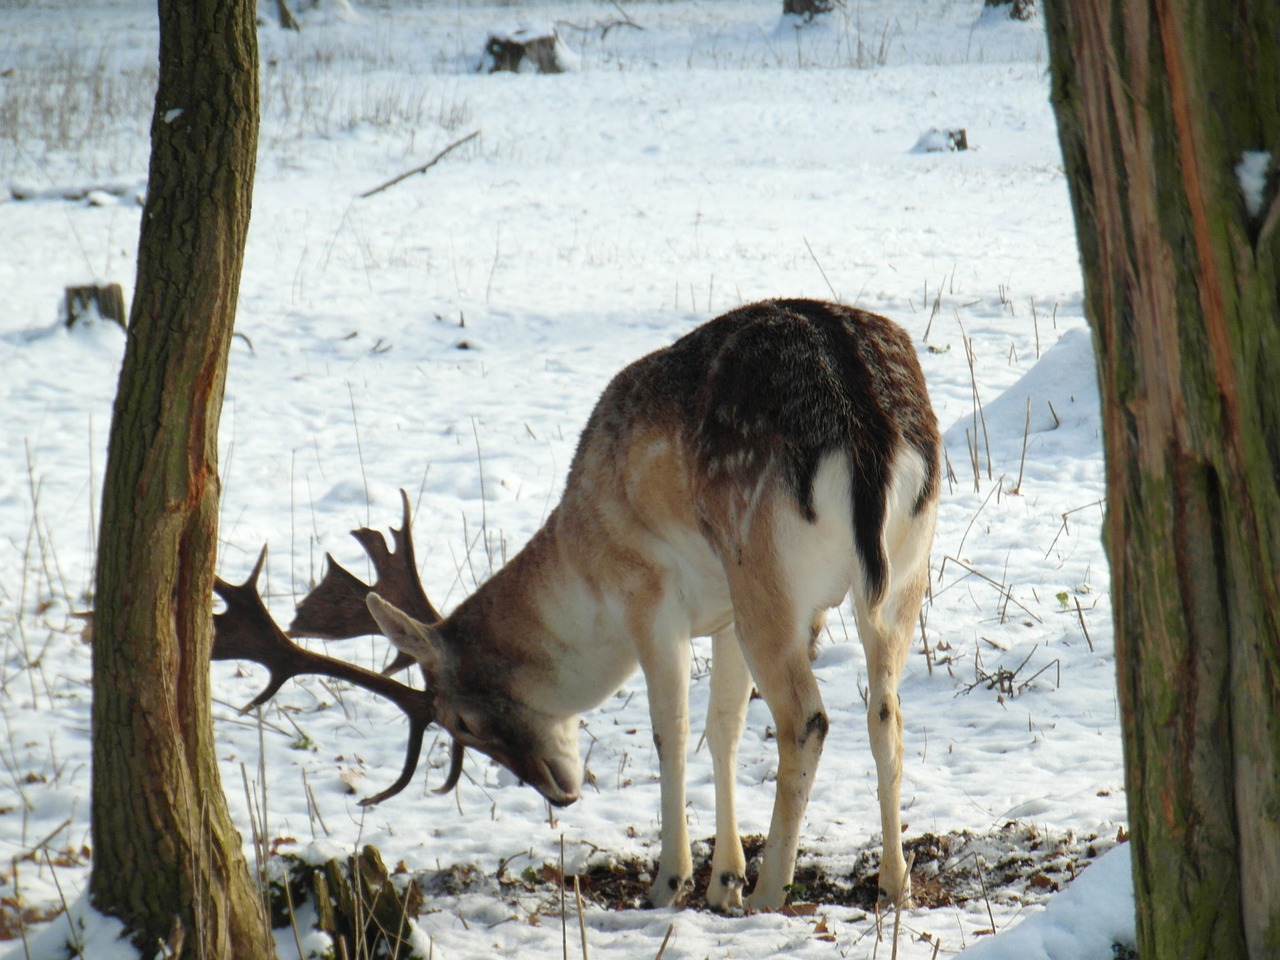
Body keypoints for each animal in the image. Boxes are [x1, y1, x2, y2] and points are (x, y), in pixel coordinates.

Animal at [215, 300, 942, 916]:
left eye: (461, 721)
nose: (559, 791)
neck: (582, 557)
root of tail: (868, 428)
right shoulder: (723, 615)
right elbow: (724, 728)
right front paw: (722, 881)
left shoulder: (649, 591)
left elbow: (672, 727)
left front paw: (671, 882)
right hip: (899, 574)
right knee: (886, 711)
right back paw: (893, 882)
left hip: (765, 571)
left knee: (808, 719)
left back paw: (771, 894)